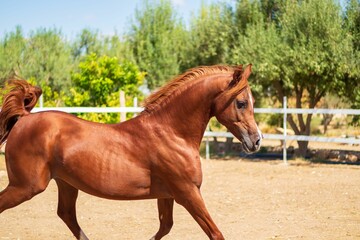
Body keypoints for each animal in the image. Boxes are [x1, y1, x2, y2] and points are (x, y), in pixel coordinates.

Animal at [0, 64, 260, 239]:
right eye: (241, 103)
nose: (256, 141)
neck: (171, 133)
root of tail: (24, 118)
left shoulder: (167, 194)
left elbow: (165, 227)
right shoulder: (188, 193)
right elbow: (215, 233)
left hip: (66, 184)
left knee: (66, 215)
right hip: (26, 186)